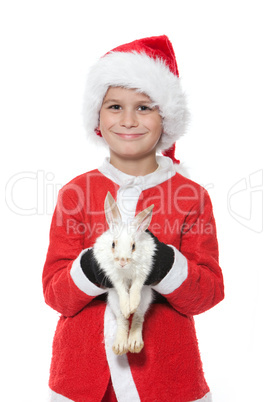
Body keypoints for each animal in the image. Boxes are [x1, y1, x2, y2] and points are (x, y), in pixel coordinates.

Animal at [93, 192, 155, 354]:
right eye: (113, 244)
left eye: (133, 246)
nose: (122, 261)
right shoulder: (114, 277)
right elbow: (122, 289)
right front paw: (127, 308)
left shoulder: (143, 272)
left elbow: (135, 287)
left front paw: (132, 304)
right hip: (113, 299)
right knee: (122, 320)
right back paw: (120, 345)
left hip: (146, 297)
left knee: (138, 318)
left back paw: (134, 343)